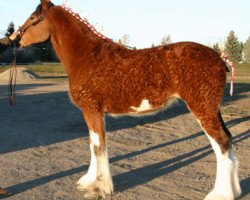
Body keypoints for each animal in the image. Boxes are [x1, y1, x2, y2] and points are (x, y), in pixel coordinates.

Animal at [16, 0, 241, 199]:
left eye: (33, 17)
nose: (16, 40)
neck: (88, 56)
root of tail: (219, 58)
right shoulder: (90, 113)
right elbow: (92, 145)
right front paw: (88, 180)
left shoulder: (92, 110)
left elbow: (98, 147)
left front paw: (100, 188)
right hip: (213, 109)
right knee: (228, 140)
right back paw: (233, 191)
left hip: (202, 108)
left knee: (221, 143)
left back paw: (220, 194)